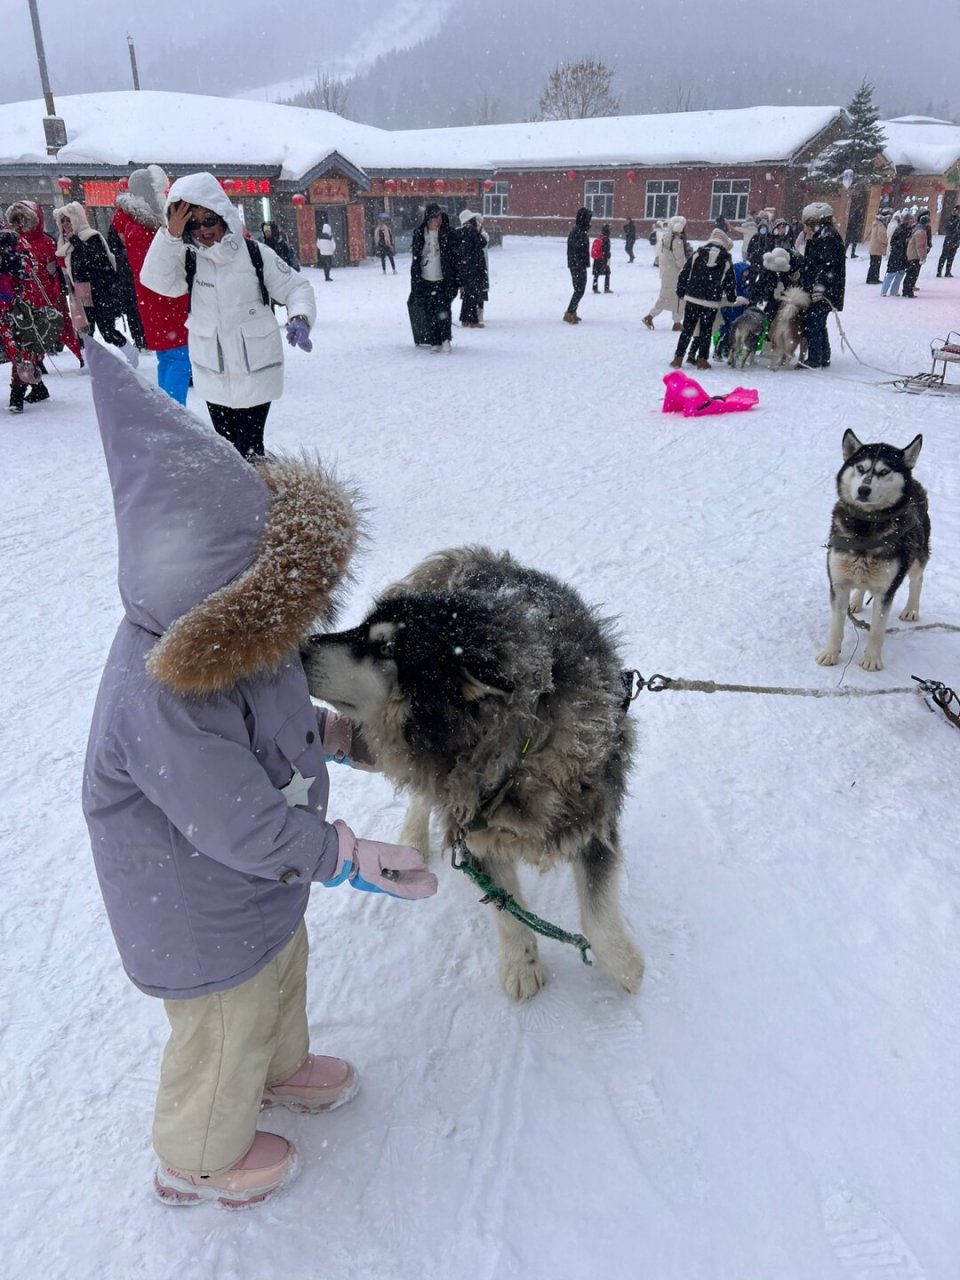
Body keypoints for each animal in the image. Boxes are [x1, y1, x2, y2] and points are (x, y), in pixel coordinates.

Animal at [302, 547, 647, 998]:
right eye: (360, 628)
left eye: (386, 648)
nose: (298, 649)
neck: (517, 755)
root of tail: (470, 556)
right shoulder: (469, 825)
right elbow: (505, 909)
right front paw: (521, 963)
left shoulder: (591, 812)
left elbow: (597, 905)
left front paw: (623, 965)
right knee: (421, 795)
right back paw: (412, 839)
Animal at [819, 430, 931, 670]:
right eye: (861, 468)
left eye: (884, 471)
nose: (864, 489)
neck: (865, 527)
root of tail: (915, 483)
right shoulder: (838, 583)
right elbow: (836, 625)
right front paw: (830, 653)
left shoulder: (885, 591)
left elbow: (877, 630)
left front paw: (871, 659)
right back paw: (856, 602)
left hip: (917, 557)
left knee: (917, 580)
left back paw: (911, 609)